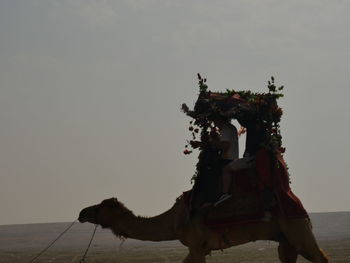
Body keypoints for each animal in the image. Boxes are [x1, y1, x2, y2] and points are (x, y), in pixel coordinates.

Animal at [78, 195, 330, 262]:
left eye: (99, 207)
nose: (81, 213)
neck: (172, 220)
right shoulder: (197, 247)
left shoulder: (197, 245)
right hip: (286, 240)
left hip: (297, 230)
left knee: (320, 257)